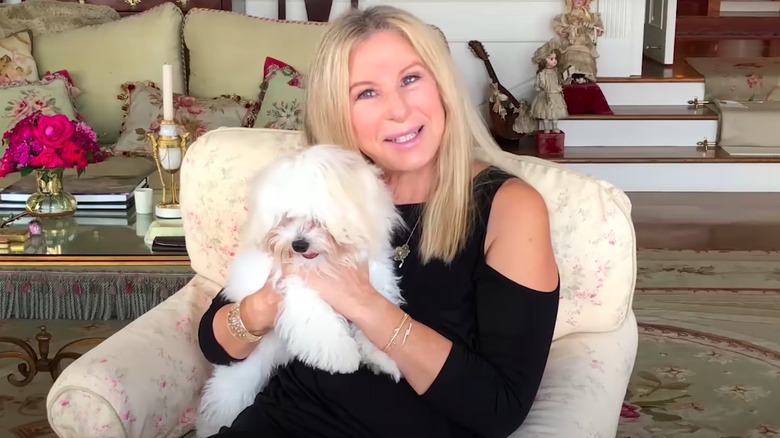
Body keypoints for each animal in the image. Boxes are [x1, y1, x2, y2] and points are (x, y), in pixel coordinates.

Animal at [195, 145, 406, 438]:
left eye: (318, 219)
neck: (327, 263)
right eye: (286, 218)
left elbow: (374, 322)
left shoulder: (373, 282)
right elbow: (319, 322)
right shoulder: (294, 287)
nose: (298, 244)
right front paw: (342, 356)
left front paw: (381, 358)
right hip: (242, 373)